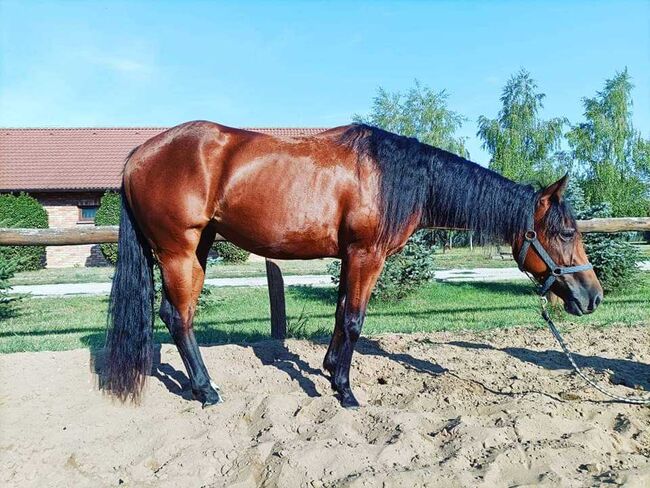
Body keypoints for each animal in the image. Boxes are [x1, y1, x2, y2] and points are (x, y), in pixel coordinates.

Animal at [102, 121, 604, 408]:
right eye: (565, 232)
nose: (593, 296)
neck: (395, 178)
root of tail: (137, 156)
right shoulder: (367, 255)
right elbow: (356, 320)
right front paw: (345, 391)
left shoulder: (350, 258)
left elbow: (342, 313)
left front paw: (329, 371)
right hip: (178, 251)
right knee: (178, 317)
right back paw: (206, 390)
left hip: (199, 247)